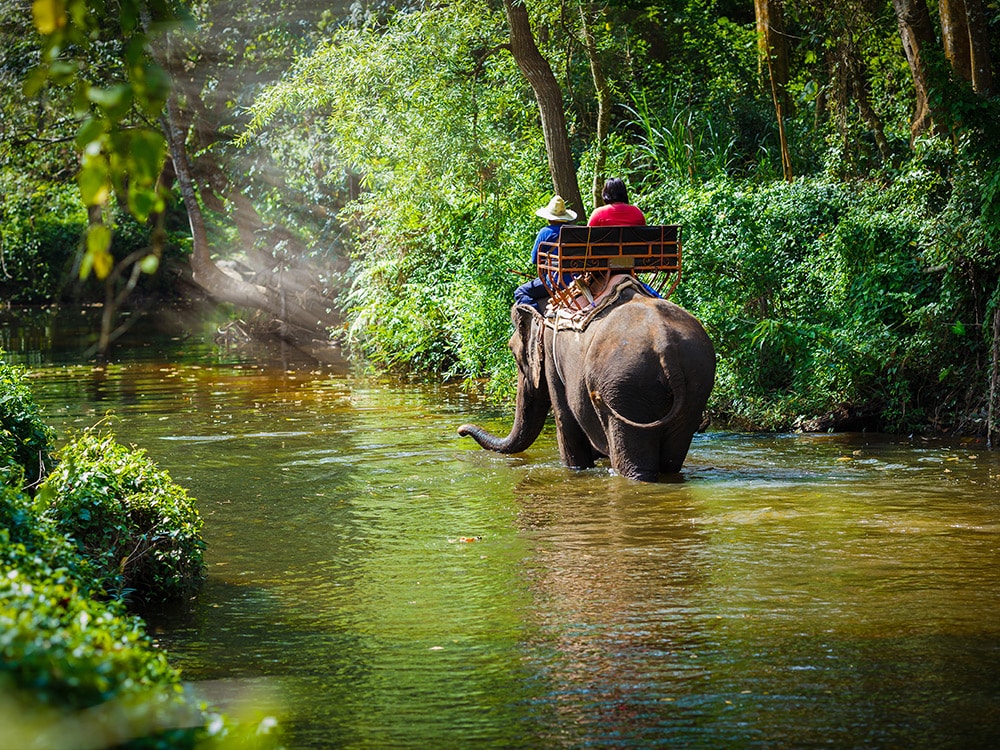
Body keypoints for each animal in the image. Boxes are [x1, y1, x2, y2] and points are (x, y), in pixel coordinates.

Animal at [458, 280, 716, 484]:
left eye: (513, 353)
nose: (461, 431)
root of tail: (665, 346)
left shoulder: (552, 357)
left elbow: (565, 419)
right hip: (695, 384)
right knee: (672, 460)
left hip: (626, 388)